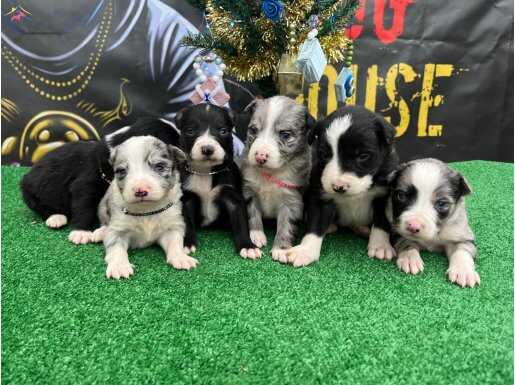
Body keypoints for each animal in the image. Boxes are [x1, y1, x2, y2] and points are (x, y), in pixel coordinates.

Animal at [97, 136, 198, 280]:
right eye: (121, 171)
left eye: (160, 166)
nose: (140, 191)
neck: (147, 209)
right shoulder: (117, 229)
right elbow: (115, 247)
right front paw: (119, 266)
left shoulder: (171, 226)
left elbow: (175, 242)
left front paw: (181, 257)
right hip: (102, 207)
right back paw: (98, 233)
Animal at [175, 103, 262, 258]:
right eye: (190, 131)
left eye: (223, 131)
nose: (207, 149)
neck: (206, 171)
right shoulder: (186, 198)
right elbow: (186, 222)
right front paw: (187, 243)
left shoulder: (233, 198)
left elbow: (241, 222)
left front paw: (247, 246)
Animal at [242, 95, 314, 260]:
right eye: (253, 130)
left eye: (285, 135)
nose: (260, 156)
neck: (270, 172)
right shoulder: (249, 190)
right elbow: (253, 213)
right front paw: (256, 235)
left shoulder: (292, 199)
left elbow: (286, 224)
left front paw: (281, 249)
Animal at [286, 105, 400, 268]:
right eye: (324, 154)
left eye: (363, 156)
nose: (338, 187)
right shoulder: (321, 196)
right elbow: (315, 225)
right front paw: (306, 251)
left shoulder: (383, 195)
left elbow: (381, 222)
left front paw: (380, 246)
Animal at [388, 158, 480, 286]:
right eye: (401, 196)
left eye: (441, 203)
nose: (413, 226)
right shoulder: (397, 229)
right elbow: (406, 242)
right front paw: (410, 258)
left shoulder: (462, 234)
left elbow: (462, 250)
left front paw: (463, 271)